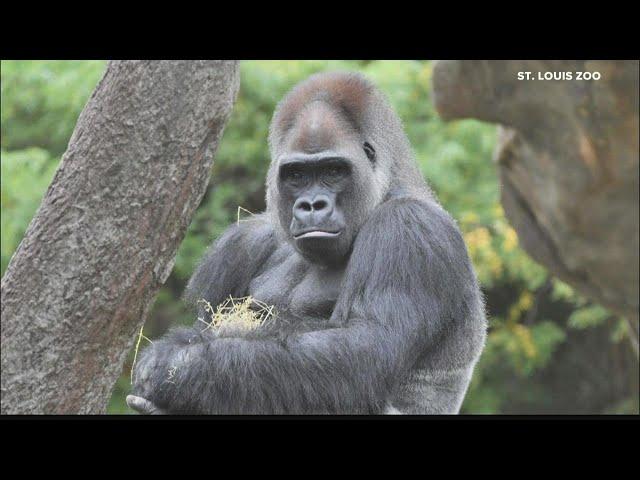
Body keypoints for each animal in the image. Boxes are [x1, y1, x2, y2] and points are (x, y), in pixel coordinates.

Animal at [127, 70, 484, 412]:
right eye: (296, 175)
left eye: (334, 171)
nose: (313, 205)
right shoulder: (241, 242)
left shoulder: (410, 229)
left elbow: (364, 349)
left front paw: (174, 364)